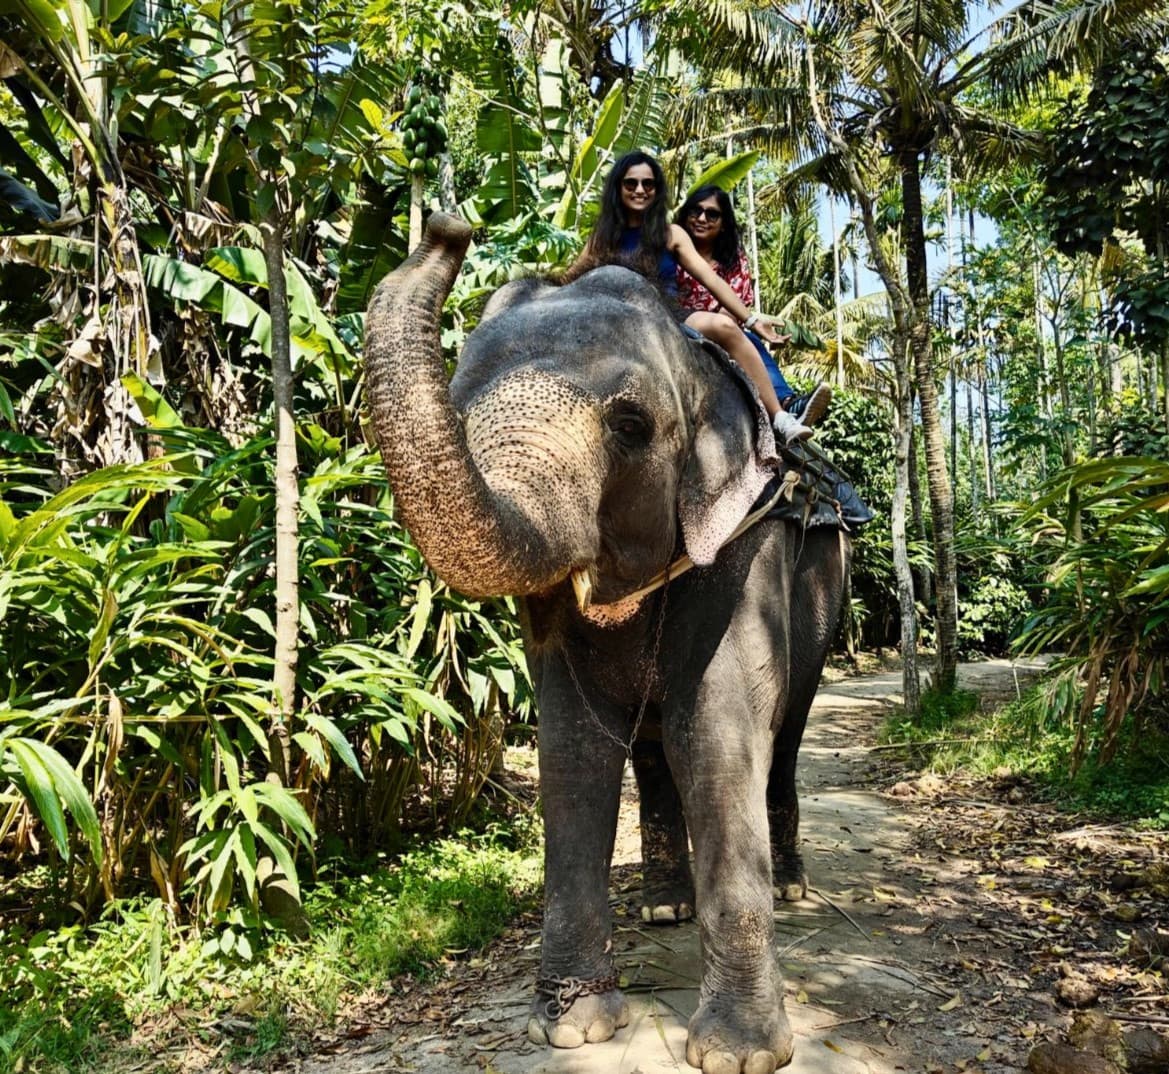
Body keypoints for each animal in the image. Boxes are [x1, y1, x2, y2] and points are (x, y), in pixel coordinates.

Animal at [364, 211, 851, 1074]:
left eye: (630, 427)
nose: (449, 228)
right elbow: (573, 748)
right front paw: (571, 1028)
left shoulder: (746, 533)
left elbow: (715, 734)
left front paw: (737, 1056)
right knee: (653, 752)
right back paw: (663, 908)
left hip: (825, 582)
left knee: (786, 731)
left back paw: (788, 887)